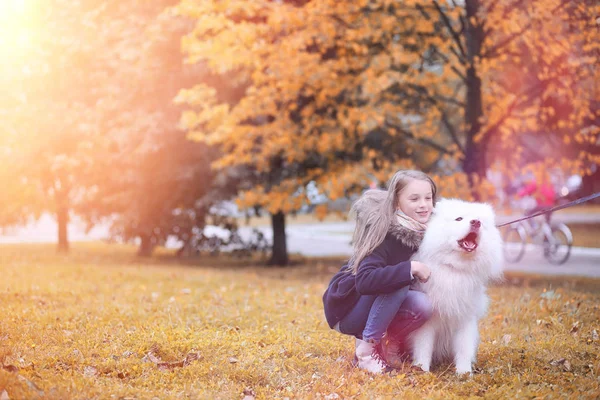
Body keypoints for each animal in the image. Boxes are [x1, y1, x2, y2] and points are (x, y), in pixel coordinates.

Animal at [410, 200, 504, 376]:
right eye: (459, 219)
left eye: (480, 221)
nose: (476, 222)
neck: (454, 268)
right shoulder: (428, 323)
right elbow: (424, 347)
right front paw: (422, 369)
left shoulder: (465, 318)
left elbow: (464, 348)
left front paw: (464, 373)